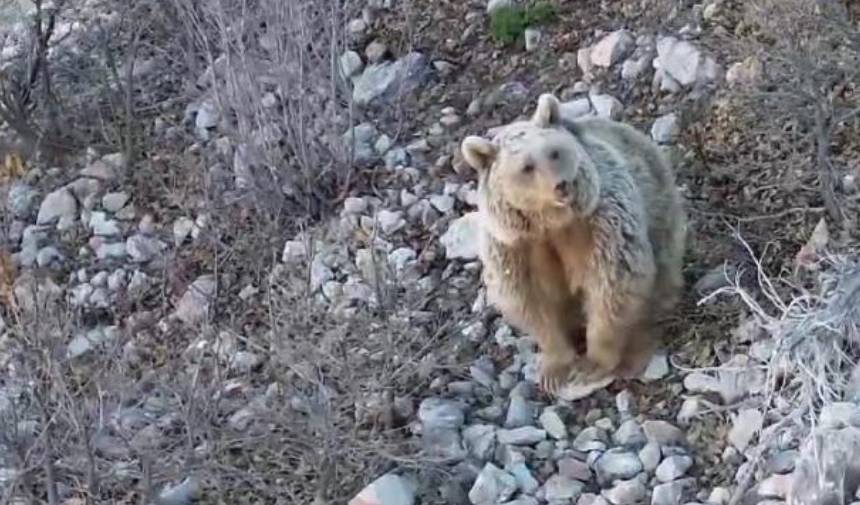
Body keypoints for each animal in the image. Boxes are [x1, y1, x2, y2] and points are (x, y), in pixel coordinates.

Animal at [460, 93, 688, 394]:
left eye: (554, 152)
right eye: (527, 167)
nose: (561, 185)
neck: (551, 222)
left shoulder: (600, 223)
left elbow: (612, 285)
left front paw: (591, 364)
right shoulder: (514, 247)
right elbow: (533, 302)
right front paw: (554, 369)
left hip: (662, 220)